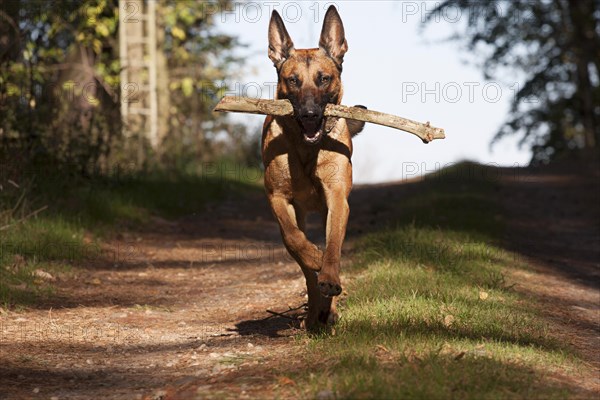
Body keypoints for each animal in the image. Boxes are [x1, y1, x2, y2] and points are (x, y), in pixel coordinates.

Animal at [262, 6, 364, 330]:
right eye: (293, 80)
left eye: (323, 79)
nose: (309, 114)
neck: (308, 149)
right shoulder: (278, 198)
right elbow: (295, 239)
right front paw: (315, 260)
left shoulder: (337, 199)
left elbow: (333, 246)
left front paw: (329, 277)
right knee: (303, 263)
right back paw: (314, 310)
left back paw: (327, 309)